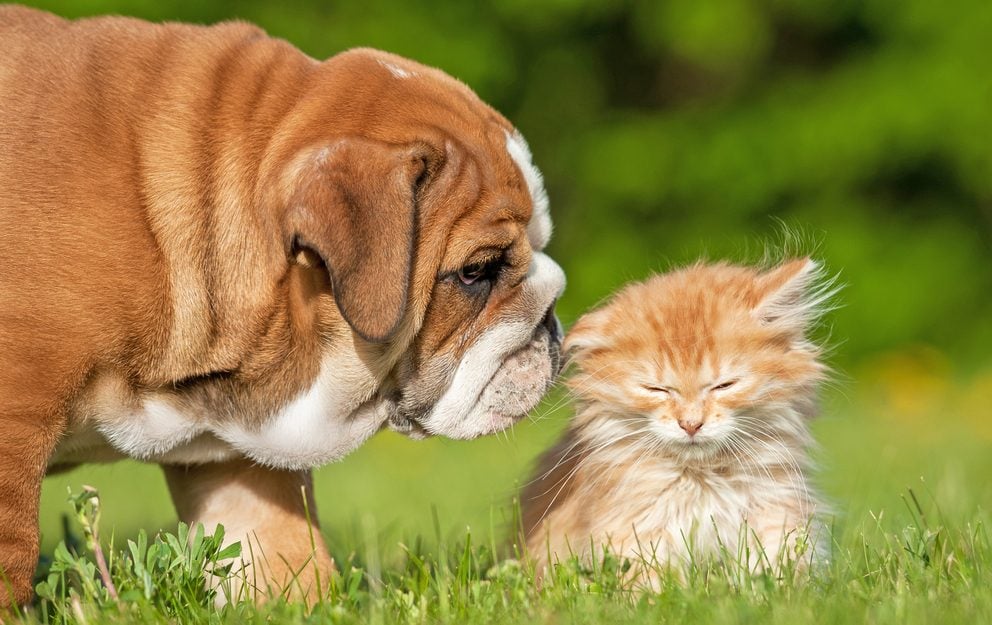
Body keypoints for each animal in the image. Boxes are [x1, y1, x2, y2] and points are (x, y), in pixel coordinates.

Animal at [0, 4, 564, 604]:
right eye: (477, 272)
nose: (554, 320)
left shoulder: (238, 458)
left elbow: (282, 553)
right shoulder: (14, 424)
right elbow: (12, 553)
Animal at [524, 258, 832, 580]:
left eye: (724, 386)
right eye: (656, 389)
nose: (691, 424)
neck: (702, 479)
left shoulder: (776, 511)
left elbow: (772, 570)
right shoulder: (636, 533)